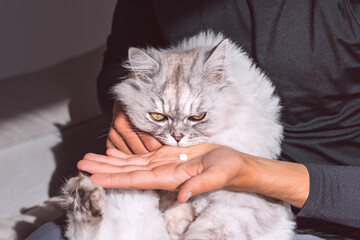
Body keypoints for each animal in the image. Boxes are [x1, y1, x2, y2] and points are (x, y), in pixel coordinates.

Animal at [59, 31, 296, 239]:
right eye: (158, 117)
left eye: (198, 116)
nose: (178, 137)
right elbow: (176, 203)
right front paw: (177, 221)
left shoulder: (238, 203)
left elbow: (208, 230)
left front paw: (181, 224)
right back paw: (83, 195)